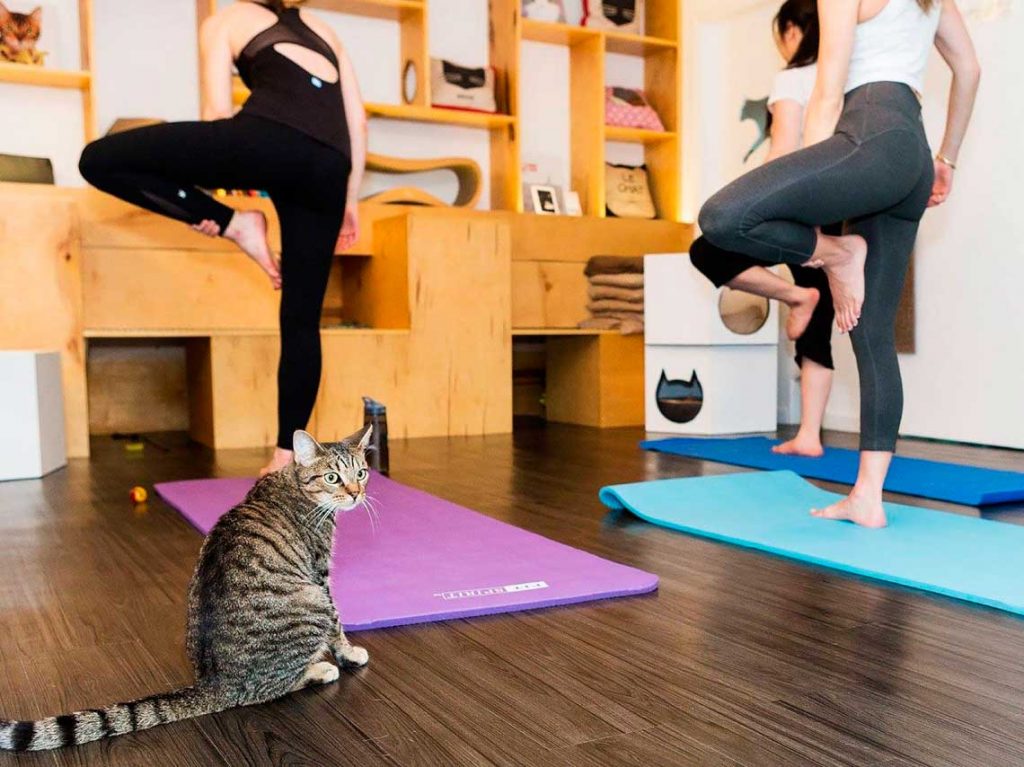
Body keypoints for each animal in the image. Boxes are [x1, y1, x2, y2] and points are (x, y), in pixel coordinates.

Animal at [0, 428, 376, 749]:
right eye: (332, 477)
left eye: (361, 473)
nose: (356, 494)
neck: (294, 484)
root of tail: (214, 684)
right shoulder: (320, 577)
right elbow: (338, 623)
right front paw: (348, 653)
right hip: (311, 603)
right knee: (268, 689)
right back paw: (320, 670)